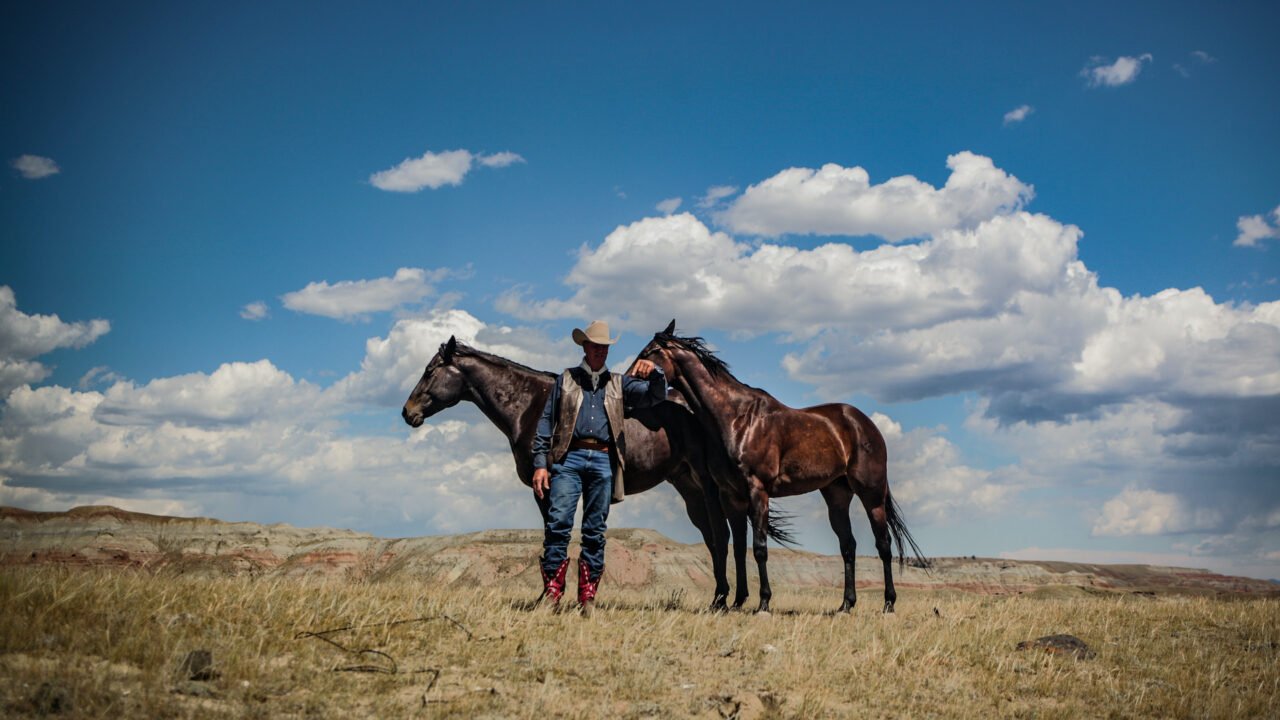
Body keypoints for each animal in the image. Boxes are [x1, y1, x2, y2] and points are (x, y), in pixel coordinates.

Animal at [399, 335, 757, 604]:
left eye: (430, 371)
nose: (407, 412)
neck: (528, 405)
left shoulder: (546, 488)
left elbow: (553, 537)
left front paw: (548, 596)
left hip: (706, 484)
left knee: (721, 534)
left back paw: (724, 599)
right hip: (688, 487)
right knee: (713, 537)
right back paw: (723, 597)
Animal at [637, 320, 921, 609]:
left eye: (648, 353)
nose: (628, 377)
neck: (737, 419)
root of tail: (865, 424)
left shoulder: (758, 490)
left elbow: (759, 548)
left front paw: (763, 602)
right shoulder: (731, 496)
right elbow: (739, 548)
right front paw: (738, 602)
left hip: (871, 494)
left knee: (883, 544)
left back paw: (888, 603)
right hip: (837, 495)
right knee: (848, 546)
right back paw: (845, 605)